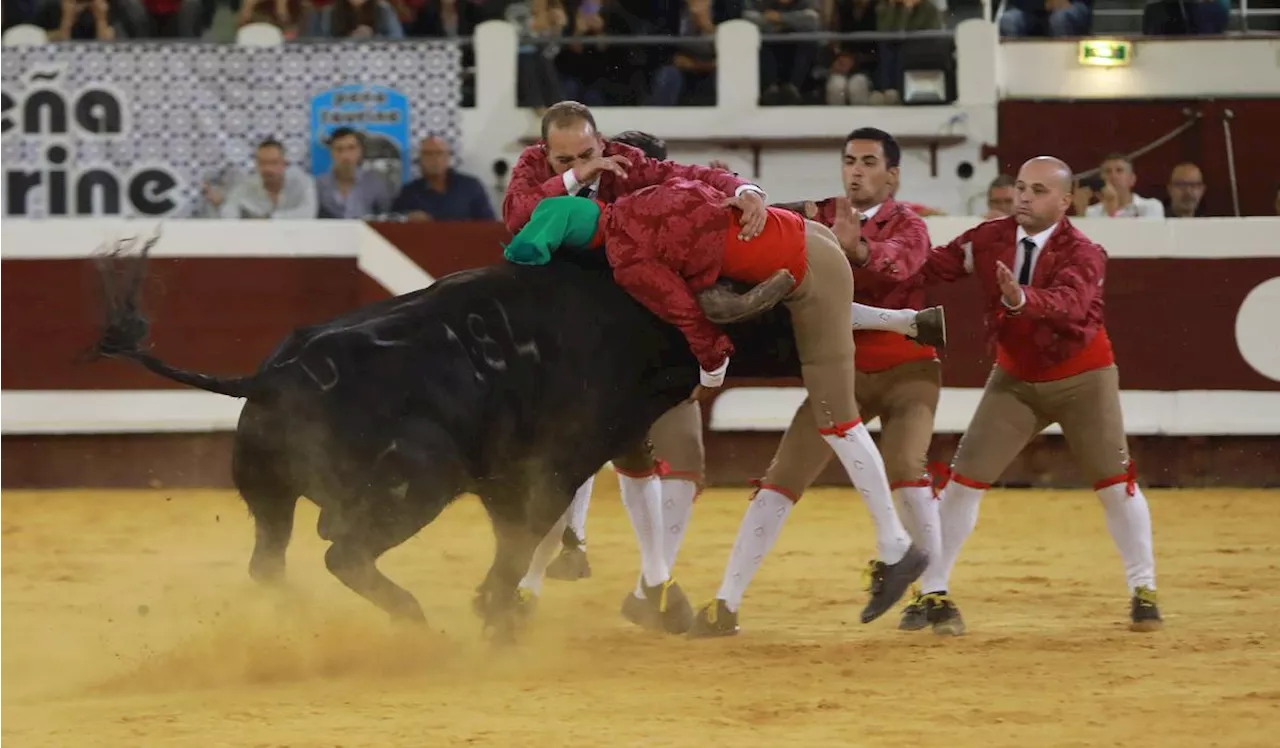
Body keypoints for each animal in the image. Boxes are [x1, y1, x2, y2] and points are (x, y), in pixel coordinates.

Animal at [90, 236, 798, 635]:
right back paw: (414, 620)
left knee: (270, 561)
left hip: (269, 492)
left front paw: (505, 609)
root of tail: (271, 377)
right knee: (344, 553)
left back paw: (298, 615)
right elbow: (521, 536)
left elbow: (519, 536)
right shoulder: (551, 464)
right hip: (419, 482)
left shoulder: (520, 471)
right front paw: (497, 611)